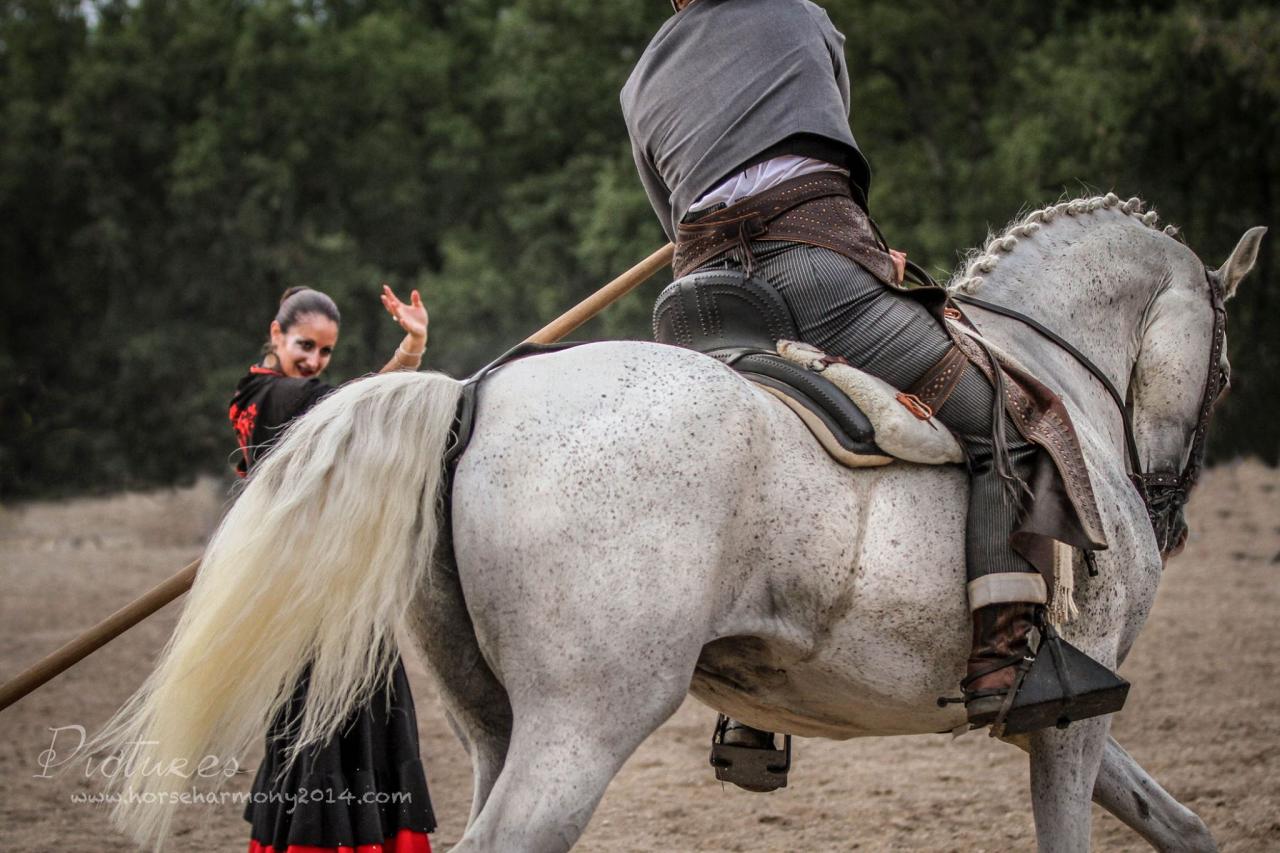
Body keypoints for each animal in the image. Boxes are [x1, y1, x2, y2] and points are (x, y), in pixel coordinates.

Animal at [97, 195, 1259, 845]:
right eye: (1223, 368)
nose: (1165, 510)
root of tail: (473, 397)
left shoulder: (1064, 709)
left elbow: (1178, 820)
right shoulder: (1070, 712)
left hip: (495, 724)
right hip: (584, 723)